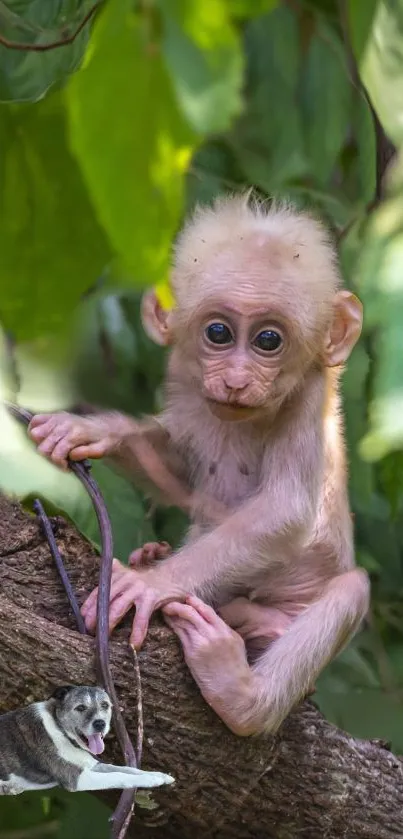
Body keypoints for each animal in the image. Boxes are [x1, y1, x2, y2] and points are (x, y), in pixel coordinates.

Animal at [0, 684, 174, 796]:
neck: (60, 729)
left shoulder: (93, 765)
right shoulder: (78, 779)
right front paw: (151, 779)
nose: (100, 723)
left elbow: (127, 769)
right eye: (80, 708)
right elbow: (119, 776)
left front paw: (161, 776)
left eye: (105, 705)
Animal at [28, 195, 370, 736]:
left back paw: (241, 692)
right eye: (218, 332)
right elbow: (180, 473)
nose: (236, 380)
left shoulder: (310, 395)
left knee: (352, 589)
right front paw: (91, 430)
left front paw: (150, 584)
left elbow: (288, 509)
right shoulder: (186, 381)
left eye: (268, 341)